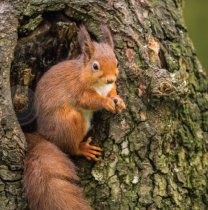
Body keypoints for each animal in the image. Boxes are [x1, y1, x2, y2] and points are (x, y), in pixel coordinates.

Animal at [23, 25, 126, 210]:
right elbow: (89, 100)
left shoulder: (109, 87)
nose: (110, 79)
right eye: (95, 66)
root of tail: (43, 135)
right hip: (69, 122)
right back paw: (84, 148)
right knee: (70, 148)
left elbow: (112, 92)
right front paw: (105, 102)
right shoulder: (77, 89)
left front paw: (118, 101)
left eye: (117, 63)